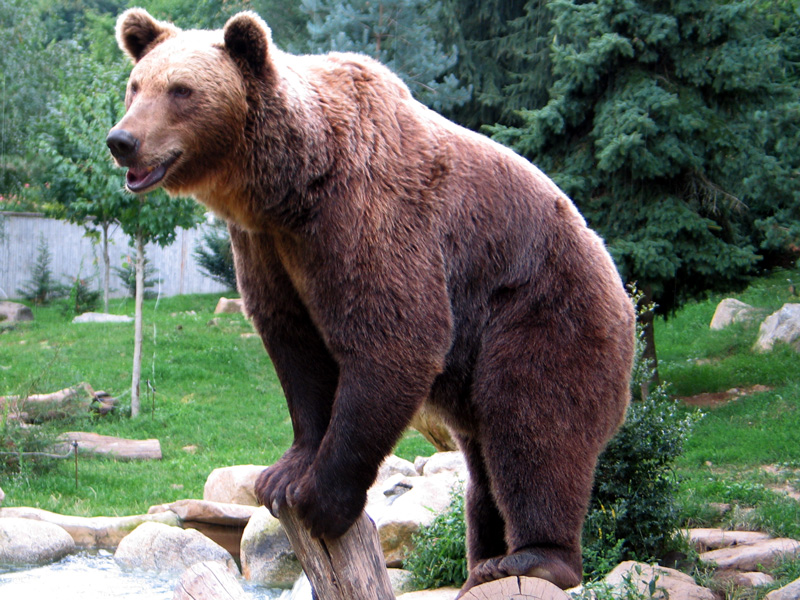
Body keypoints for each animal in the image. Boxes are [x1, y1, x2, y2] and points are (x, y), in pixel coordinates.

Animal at [109, 9, 636, 596]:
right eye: (136, 85)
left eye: (181, 90)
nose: (122, 139)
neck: (290, 185)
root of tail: (622, 290)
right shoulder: (268, 246)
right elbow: (296, 346)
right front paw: (282, 474)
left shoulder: (367, 215)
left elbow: (395, 336)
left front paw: (321, 498)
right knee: (483, 459)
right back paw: (484, 561)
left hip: (542, 311)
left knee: (533, 425)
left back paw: (533, 558)